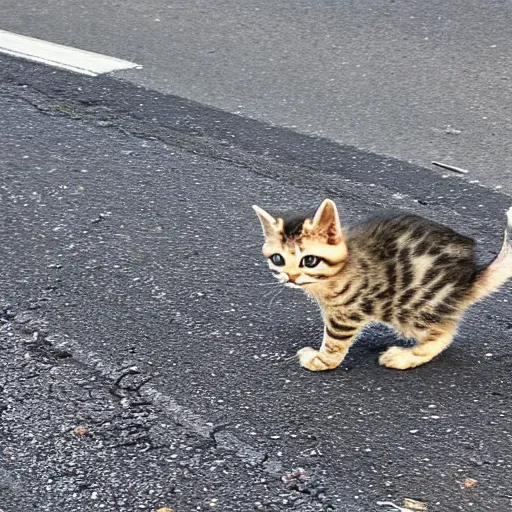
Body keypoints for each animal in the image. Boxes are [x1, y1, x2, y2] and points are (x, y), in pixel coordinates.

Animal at [253, 198, 512, 370]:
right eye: (278, 259)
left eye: (309, 260)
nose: (291, 277)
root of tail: (468, 277)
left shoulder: (346, 314)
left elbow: (334, 345)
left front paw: (319, 361)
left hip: (411, 308)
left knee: (444, 332)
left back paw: (404, 357)